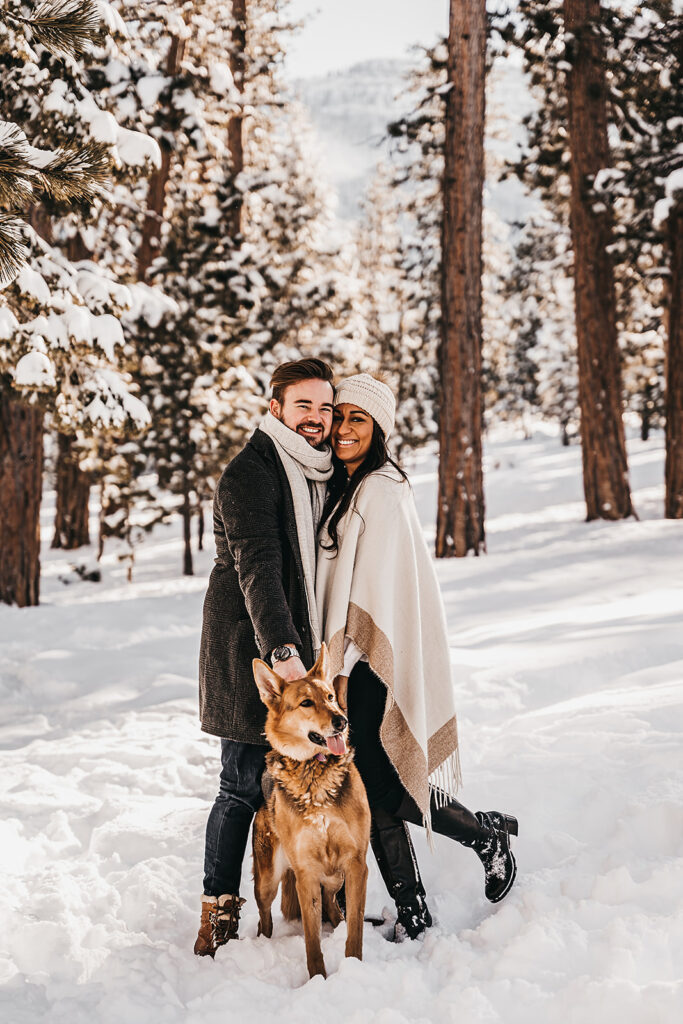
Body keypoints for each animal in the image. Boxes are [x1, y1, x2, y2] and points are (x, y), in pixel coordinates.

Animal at [250, 643, 368, 978]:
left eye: (330, 696)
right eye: (306, 703)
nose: (341, 721)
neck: (314, 774)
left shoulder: (356, 863)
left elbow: (355, 927)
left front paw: (354, 968)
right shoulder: (306, 873)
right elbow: (311, 941)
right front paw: (318, 978)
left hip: (336, 876)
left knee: (333, 902)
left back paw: (336, 922)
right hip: (267, 879)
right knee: (265, 915)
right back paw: (263, 943)